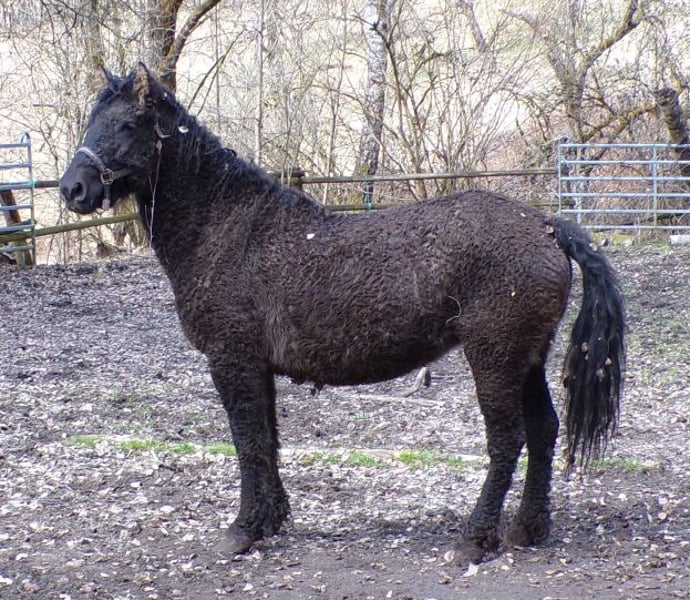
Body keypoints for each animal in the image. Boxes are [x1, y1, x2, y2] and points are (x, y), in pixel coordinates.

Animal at [60, 63, 625, 566]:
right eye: (92, 120)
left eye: (126, 124)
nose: (73, 189)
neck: (229, 229)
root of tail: (546, 226)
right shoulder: (257, 369)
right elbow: (266, 440)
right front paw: (270, 521)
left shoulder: (232, 361)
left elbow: (248, 442)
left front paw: (242, 530)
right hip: (526, 359)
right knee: (544, 430)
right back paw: (527, 529)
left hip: (494, 359)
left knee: (508, 440)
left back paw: (475, 539)